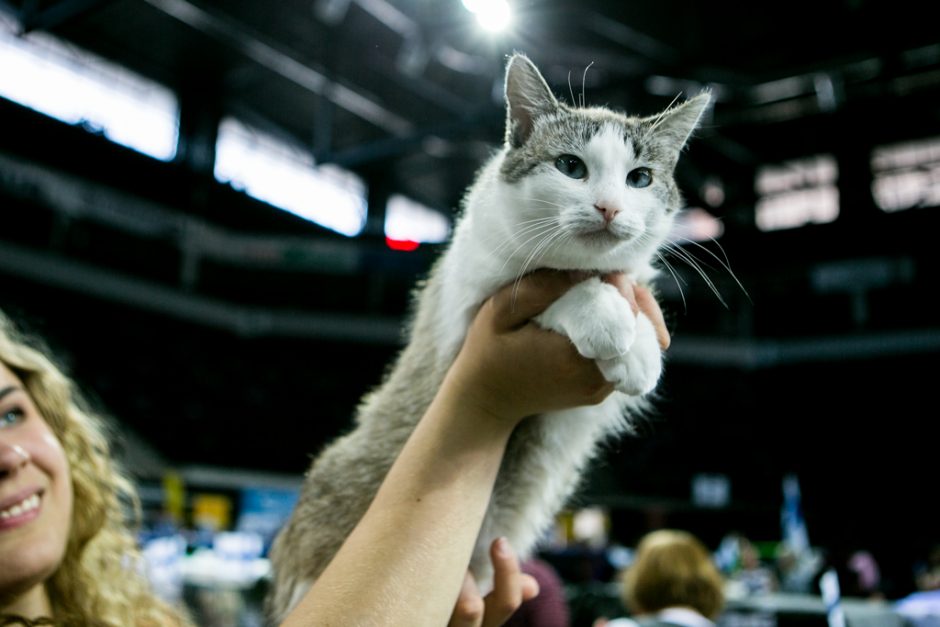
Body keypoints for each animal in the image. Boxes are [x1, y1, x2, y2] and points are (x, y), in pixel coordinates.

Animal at [264, 54, 712, 624]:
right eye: (571, 167)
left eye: (640, 179)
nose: (610, 207)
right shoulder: (474, 304)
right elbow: (552, 289)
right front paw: (606, 318)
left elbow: (628, 289)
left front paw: (641, 346)